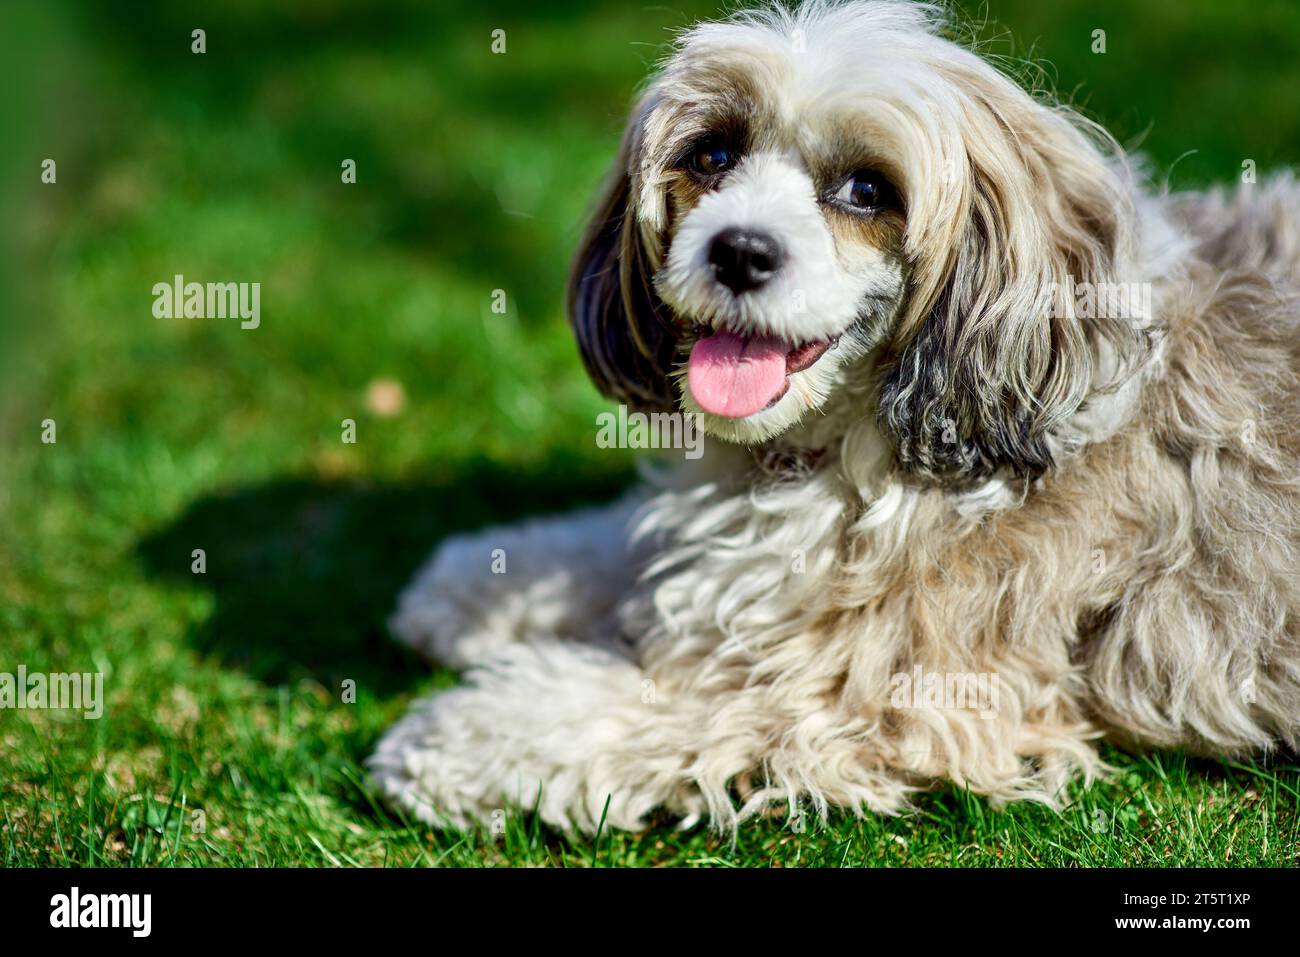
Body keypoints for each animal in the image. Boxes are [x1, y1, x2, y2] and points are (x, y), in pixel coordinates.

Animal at [366, 0, 1300, 832]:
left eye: (866, 189)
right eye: (713, 152)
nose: (739, 249)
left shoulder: (883, 697)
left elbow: (650, 708)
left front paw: (454, 736)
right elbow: (620, 546)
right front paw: (482, 579)